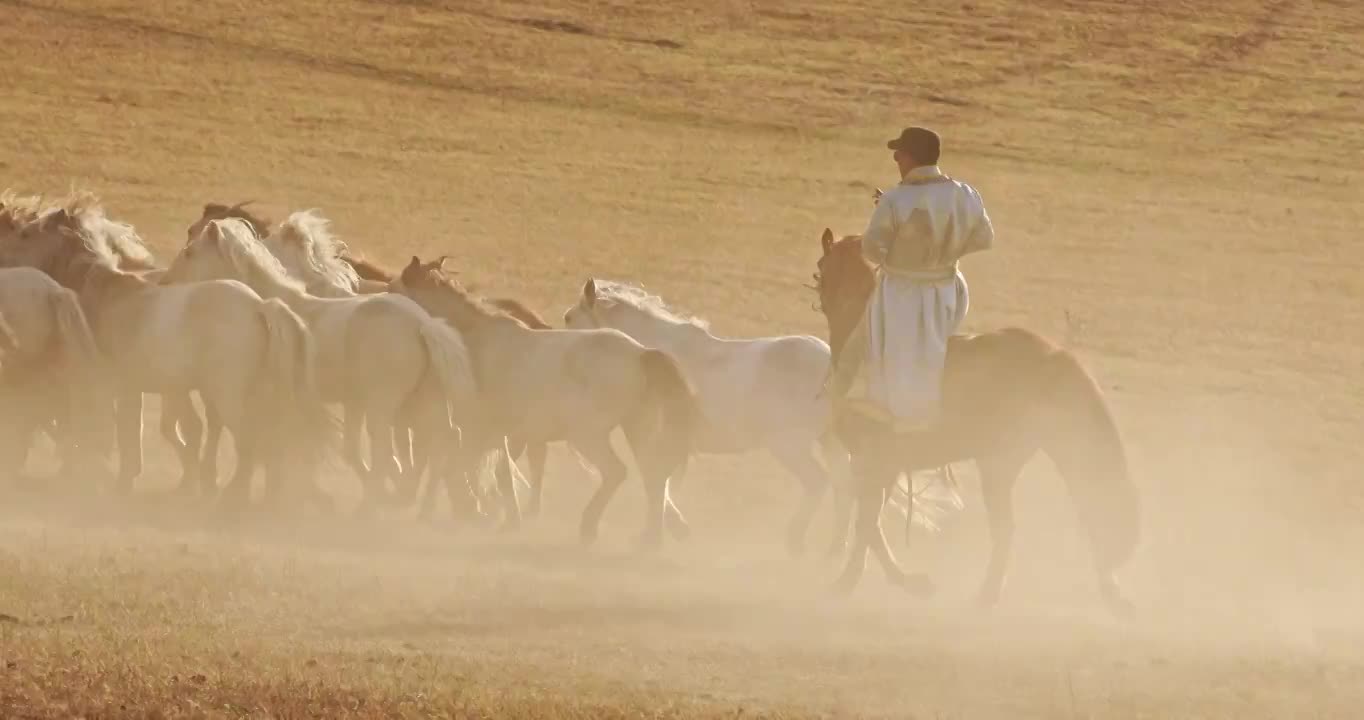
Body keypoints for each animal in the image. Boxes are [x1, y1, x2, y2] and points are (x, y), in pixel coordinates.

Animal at [164, 216, 477, 510]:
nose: (166, 283)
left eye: (190, 252)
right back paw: (433, 503)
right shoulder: (345, 403)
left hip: (385, 407)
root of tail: (423, 324)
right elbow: (331, 448)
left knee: (391, 449)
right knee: (446, 439)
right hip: (424, 402)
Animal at [390, 255, 698, 545]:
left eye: (395, 289)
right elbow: (499, 474)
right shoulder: (497, 434)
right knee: (654, 476)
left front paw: (467, 512)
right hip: (636, 429)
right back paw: (649, 539)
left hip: (588, 436)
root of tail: (641, 353)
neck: (472, 343)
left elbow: (458, 468)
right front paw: (505, 519)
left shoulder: (477, 429)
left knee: (617, 472)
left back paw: (590, 529)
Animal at [559, 278, 965, 553]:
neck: (652, 356)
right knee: (843, 486)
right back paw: (833, 549)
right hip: (828, 443)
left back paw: (796, 540)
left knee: (818, 482)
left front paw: (661, 532)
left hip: (790, 446)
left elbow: (656, 479)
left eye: (569, 318)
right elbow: (663, 480)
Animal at [807, 227, 1140, 616]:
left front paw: (871, 582)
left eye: (821, 265)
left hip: (1002, 462)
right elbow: (870, 523)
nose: (819, 293)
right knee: (1089, 506)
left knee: (1022, 523)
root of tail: (1052, 355)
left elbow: (867, 524)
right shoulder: (882, 465)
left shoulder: (876, 462)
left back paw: (989, 595)